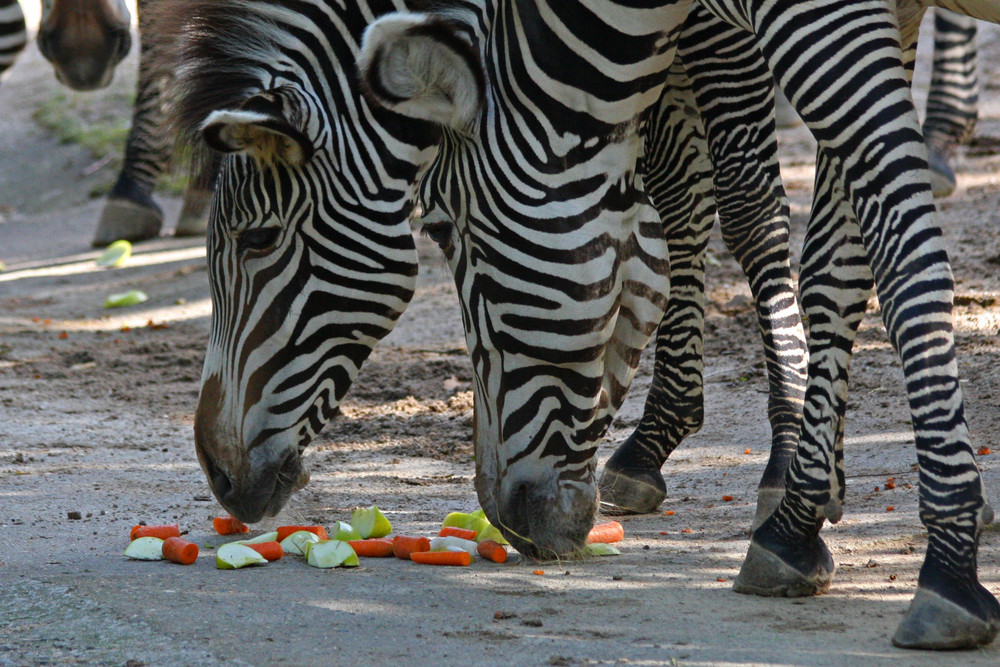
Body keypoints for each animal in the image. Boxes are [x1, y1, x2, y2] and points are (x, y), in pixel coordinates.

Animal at [152, 0, 996, 648]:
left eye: (259, 240)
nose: (219, 474)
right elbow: (822, 260)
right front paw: (796, 507)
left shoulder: (790, 24)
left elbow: (826, 221)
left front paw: (935, 557)